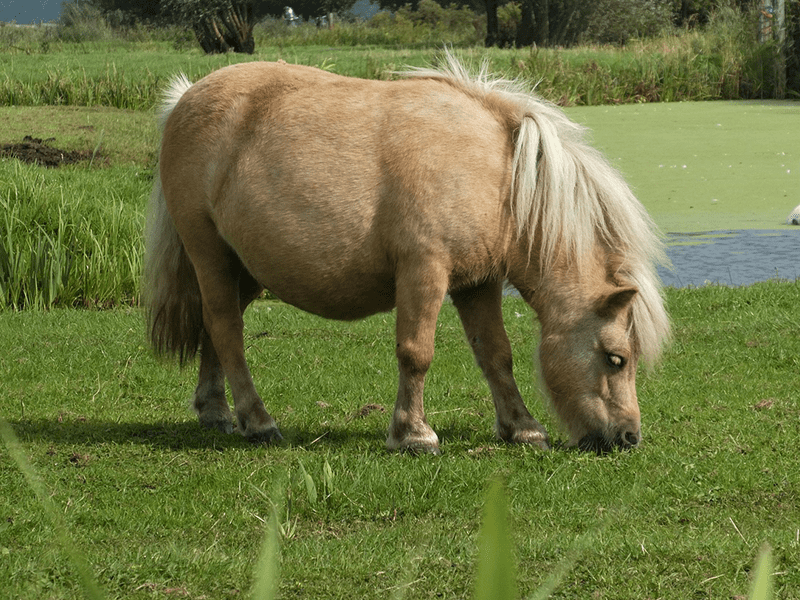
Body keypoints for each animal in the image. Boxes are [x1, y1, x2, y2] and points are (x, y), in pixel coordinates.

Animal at [145, 53, 670, 454]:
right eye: (617, 358)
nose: (629, 438)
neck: (496, 176)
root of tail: (184, 99)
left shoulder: (478, 284)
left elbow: (496, 355)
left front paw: (522, 428)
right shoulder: (424, 271)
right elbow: (416, 353)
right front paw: (414, 434)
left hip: (247, 267)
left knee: (215, 327)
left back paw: (216, 410)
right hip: (208, 251)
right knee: (225, 327)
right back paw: (257, 420)